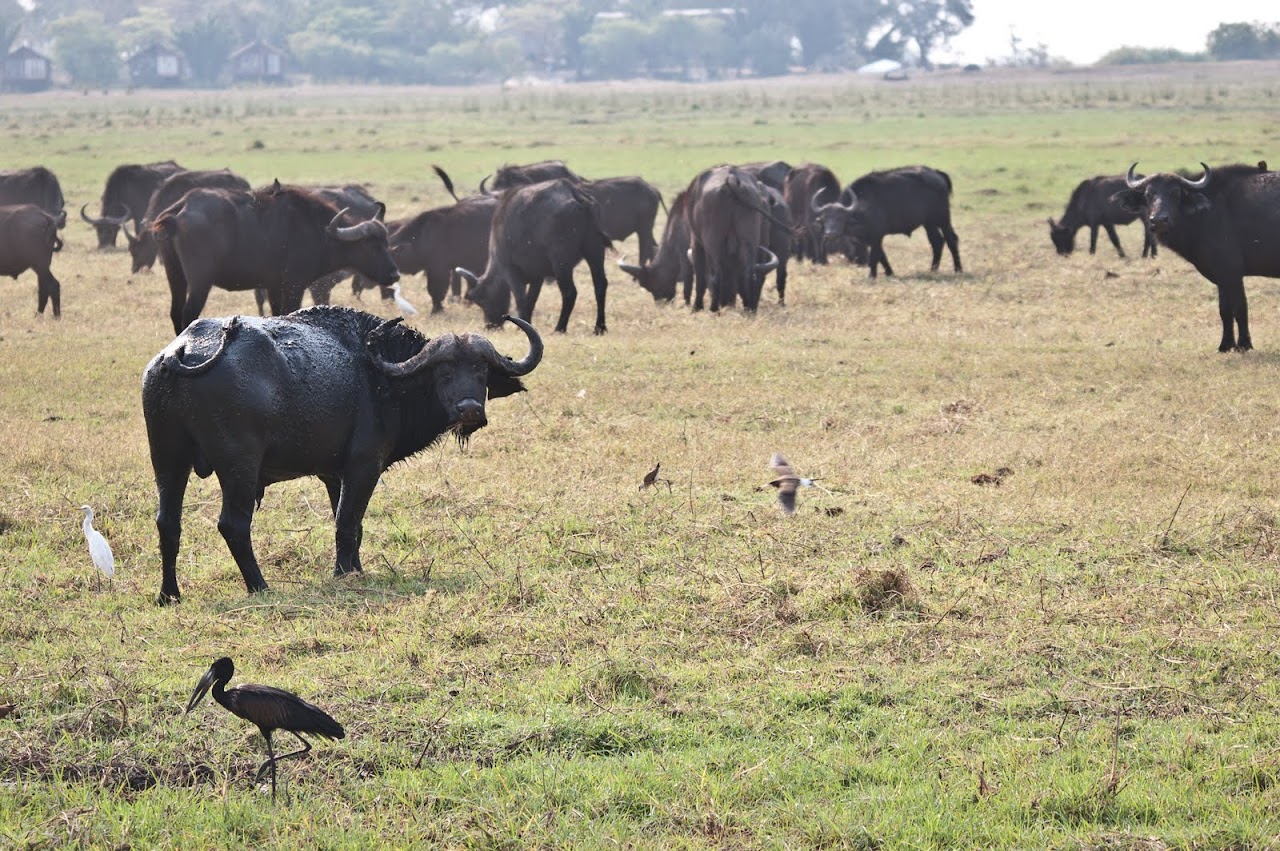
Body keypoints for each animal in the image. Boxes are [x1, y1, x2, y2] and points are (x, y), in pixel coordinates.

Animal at [142, 307, 542, 603]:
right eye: (443, 371)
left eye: (481, 369)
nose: (469, 409)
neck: (381, 379)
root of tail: (186, 352)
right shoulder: (364, 466)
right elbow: (347, 523)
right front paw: (343, 574)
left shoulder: (335, 474)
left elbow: (352, 524)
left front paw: (356, 570)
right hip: (239, 466)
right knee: (233, 524)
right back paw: (260, 586)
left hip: (168, 460)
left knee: (168, 522)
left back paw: (169, 594)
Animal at [153, 184, 399, 334]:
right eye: (370, 246)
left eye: (386, 242)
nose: (394, 274)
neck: (317, 229)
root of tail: (181, 208)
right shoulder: (294, 285)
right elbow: (289, 314)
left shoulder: (272, 286)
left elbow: (275, 315)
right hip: (200, 281)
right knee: (189, 315)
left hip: (174, 275)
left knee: (175, 312)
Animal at [459, 178, 613, 334]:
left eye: (480, 300)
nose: (490, 326)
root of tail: (574, 194)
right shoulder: (538, 276)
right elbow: (531, 300)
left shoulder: (510, 269)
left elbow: (520, 298)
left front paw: (521, 326)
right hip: (595, 249)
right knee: (600, 285)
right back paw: (599, 327)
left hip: (560, 260)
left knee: (569, 292)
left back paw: (559, 328)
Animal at [813, 166, 962, 279]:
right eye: (825, 218)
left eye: (840, 217)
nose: (830, 233)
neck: (863, 206)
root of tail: (937, 173)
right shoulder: (871, 238)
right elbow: (882, 255)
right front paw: (889, 272)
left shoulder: (876, 236)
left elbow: (874, 256)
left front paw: (872, 276)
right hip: (928, 223)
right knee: (937, 242)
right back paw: (933, 270)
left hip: (943, 219)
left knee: (951, 239)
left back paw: (958, 269)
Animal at [1113, 162, 1280, 352]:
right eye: (1148, 194)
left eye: (1176, 193)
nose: (1159, 220)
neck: (1206, 213)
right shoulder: (1222, 276)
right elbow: (1224, 310)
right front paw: (1225, 345)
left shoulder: (1231, 272)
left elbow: (1239, 307)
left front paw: (1244, 345)